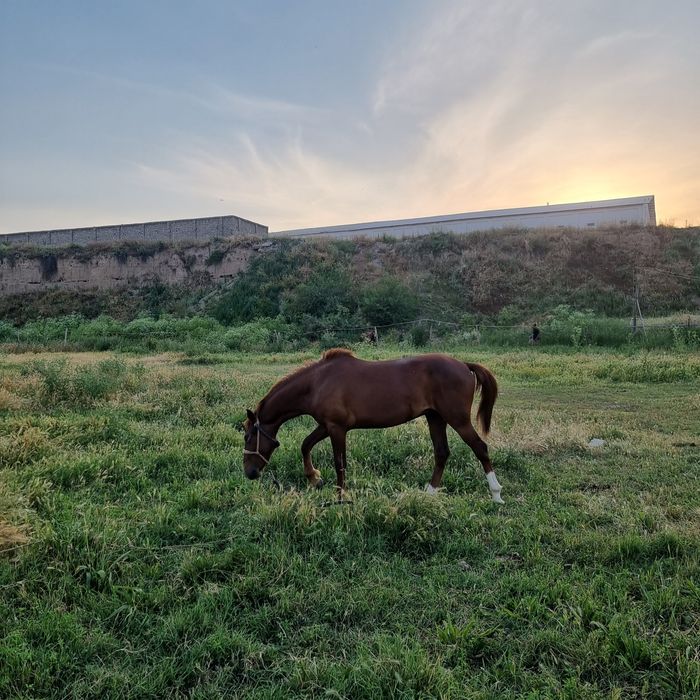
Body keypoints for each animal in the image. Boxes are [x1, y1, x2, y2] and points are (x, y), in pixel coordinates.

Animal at [243, 349, 504, 503]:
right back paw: (428, 494)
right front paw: (314, 478)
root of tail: (464, 365)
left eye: (247, 437)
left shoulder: (337, 428)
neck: (317, 383)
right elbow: (305, 445)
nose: (249, 473)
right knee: (441, 453)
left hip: (457, 419)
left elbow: (339, 463)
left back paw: (496, 494)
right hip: (435, 418)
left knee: (480, 448)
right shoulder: (326, 425)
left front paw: (341, 497)